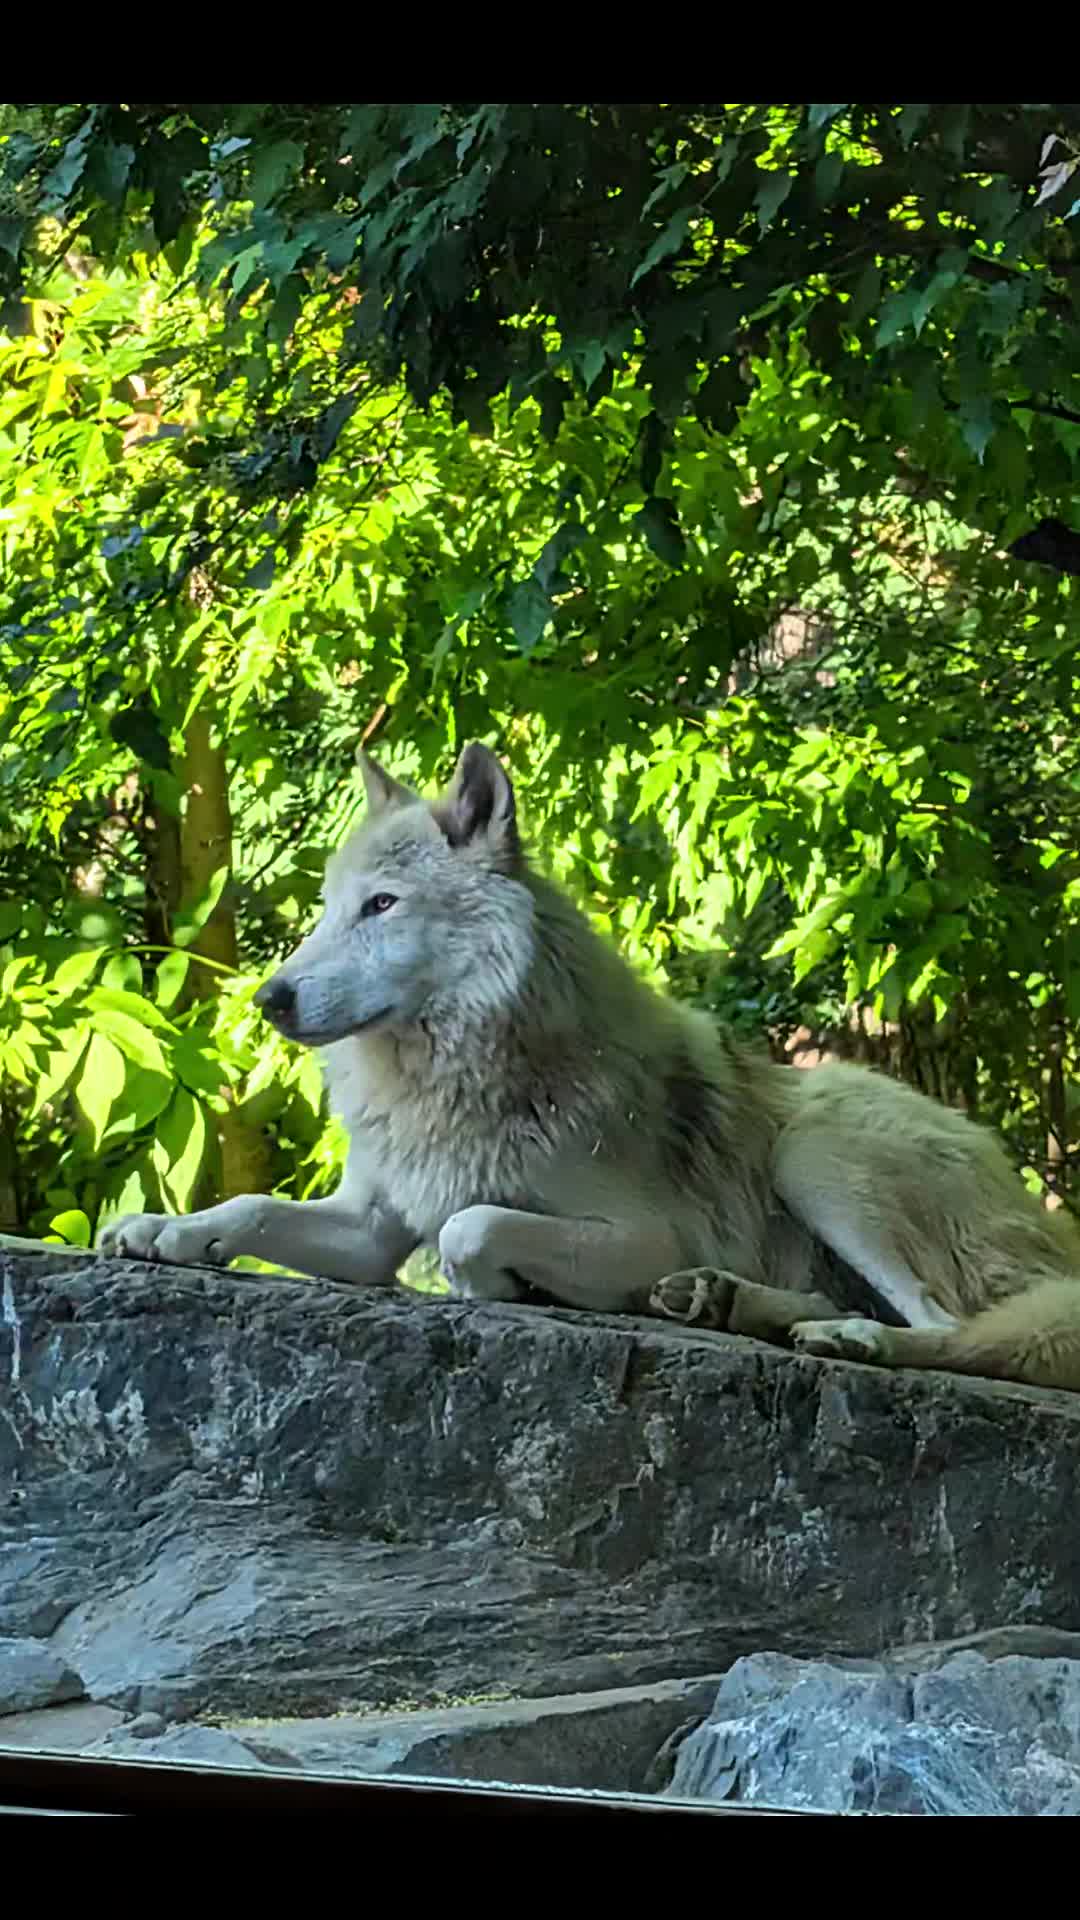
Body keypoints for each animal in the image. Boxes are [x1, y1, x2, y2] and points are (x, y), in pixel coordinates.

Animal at [101, 741, 1080, 1392]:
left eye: (382, 906)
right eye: (329, 909)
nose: (270, 999)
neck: (458, 1081)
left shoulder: (645, 1235)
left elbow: (472, 1230)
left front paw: (512, 1284)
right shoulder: (374, 1228)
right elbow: (254, 1207)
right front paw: (166, 1232)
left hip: (818, 1151)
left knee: (957, 1326)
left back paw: (848, 1340)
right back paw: (727, 1305)